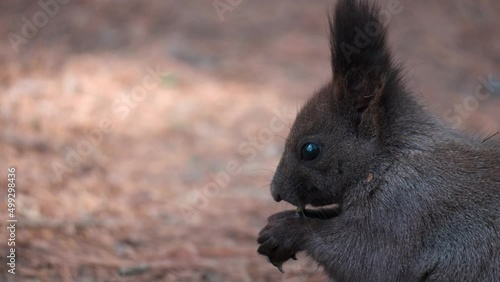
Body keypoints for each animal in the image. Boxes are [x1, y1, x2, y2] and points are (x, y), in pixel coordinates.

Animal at [258, 1, 500, 280]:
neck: (389, 161)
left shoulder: (403, 212)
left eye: (309, 150)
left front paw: (286, 229)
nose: (275, 192)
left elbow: (362, 260)